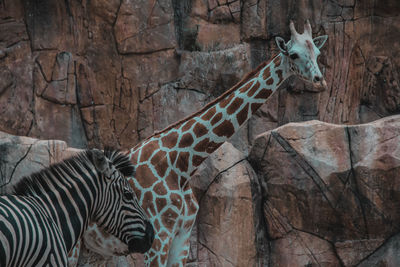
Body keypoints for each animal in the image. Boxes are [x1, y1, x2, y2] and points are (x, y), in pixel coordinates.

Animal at [72, 19, 328, 266]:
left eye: (316, 52)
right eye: (293, 54)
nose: (320, 80)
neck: (183, 164)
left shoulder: (182, 236)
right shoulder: (158, 237)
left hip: (94, 248)